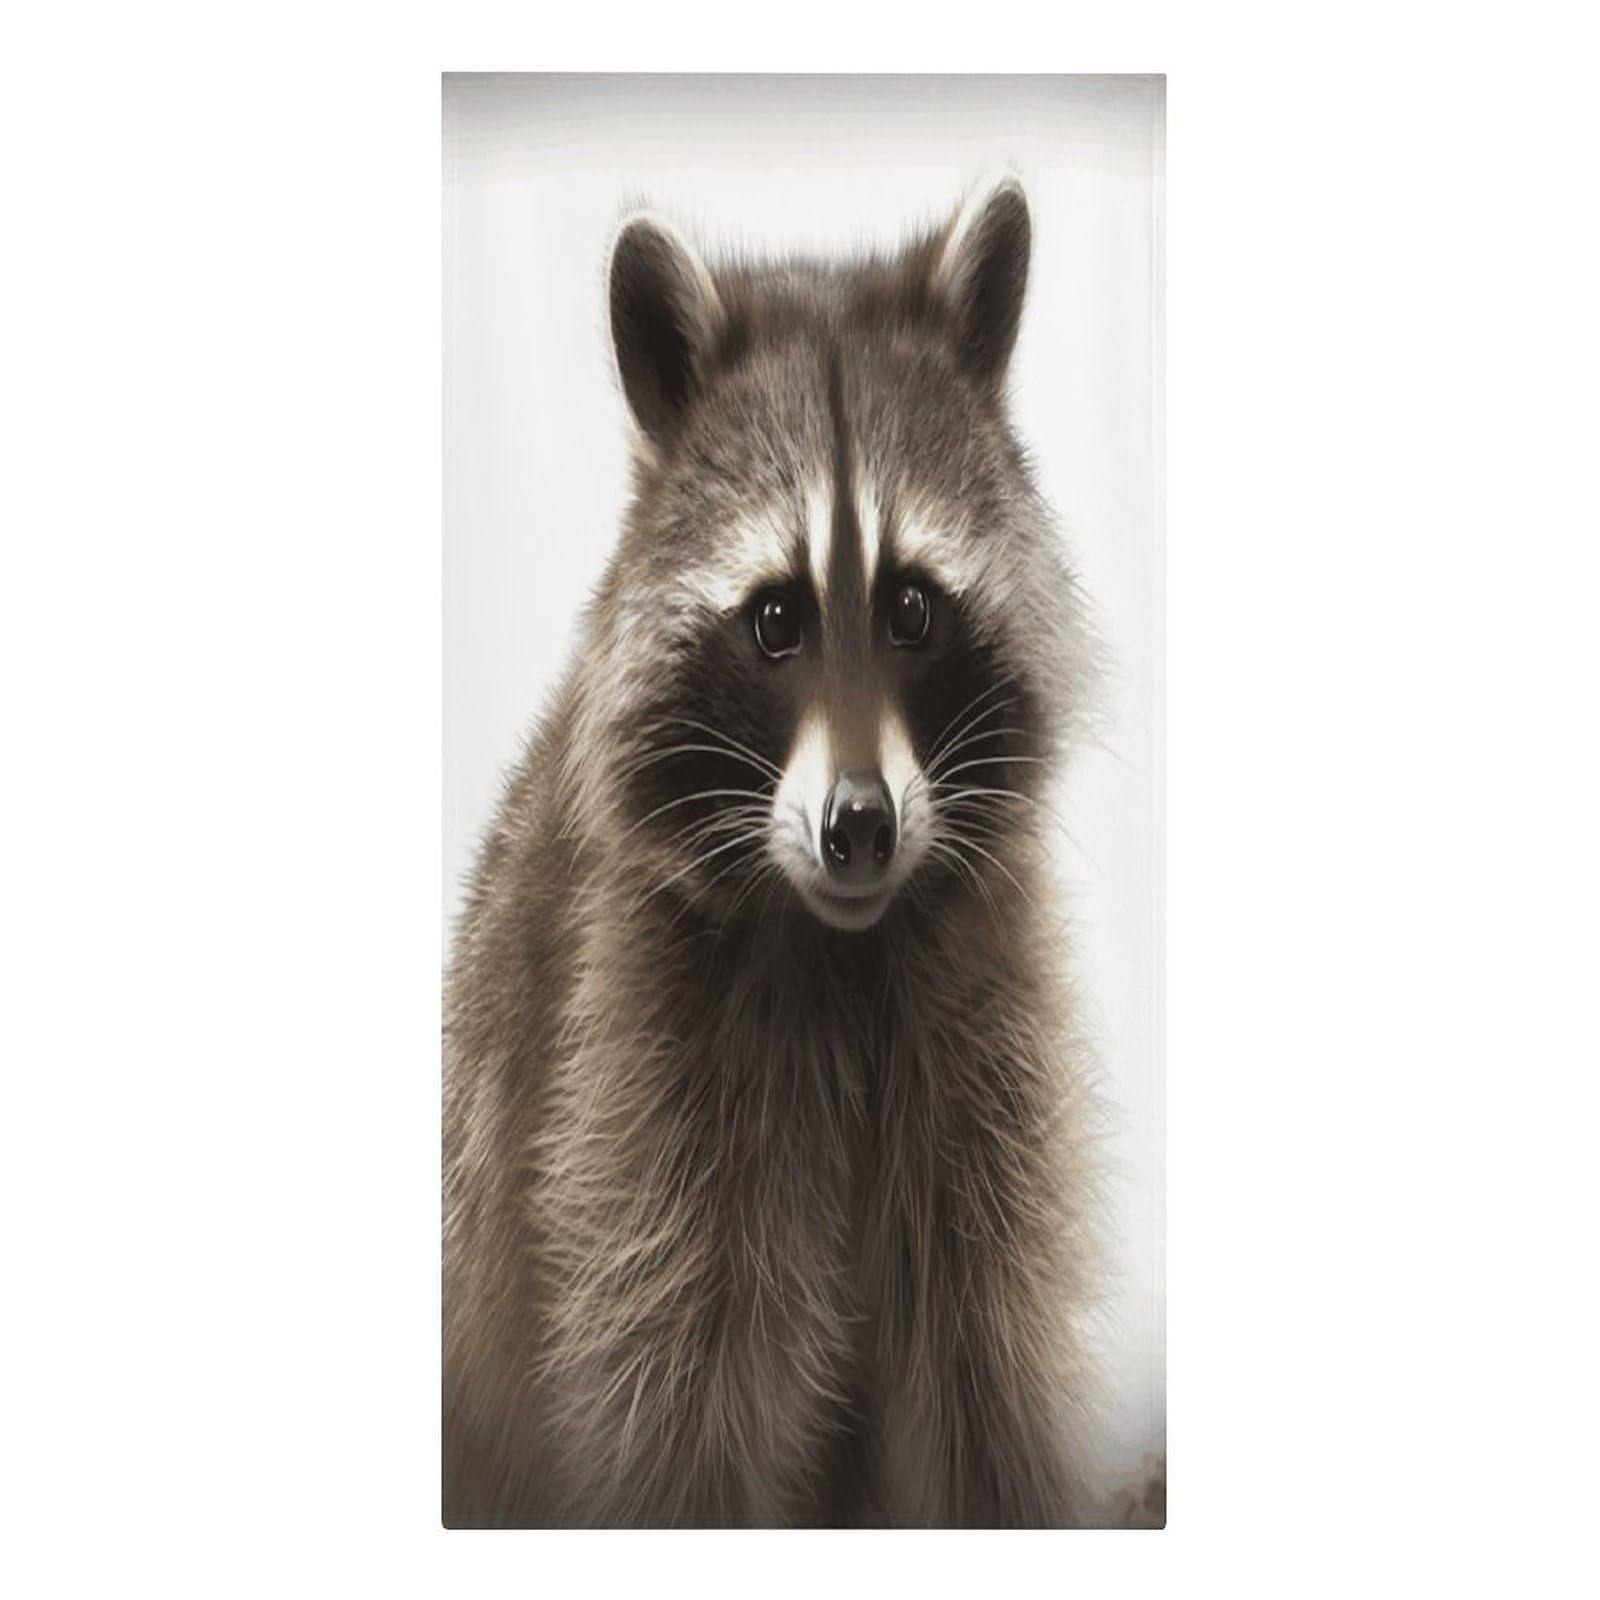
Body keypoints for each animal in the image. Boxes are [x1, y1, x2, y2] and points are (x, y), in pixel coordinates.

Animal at [443, 179, 1103, 1527]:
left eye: (912, 608)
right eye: (776, 620)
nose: (861, 825)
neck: (844, 945)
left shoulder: (980, 1023)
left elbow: (985, 1353)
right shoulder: (626, 1063)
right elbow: (672, 1387)